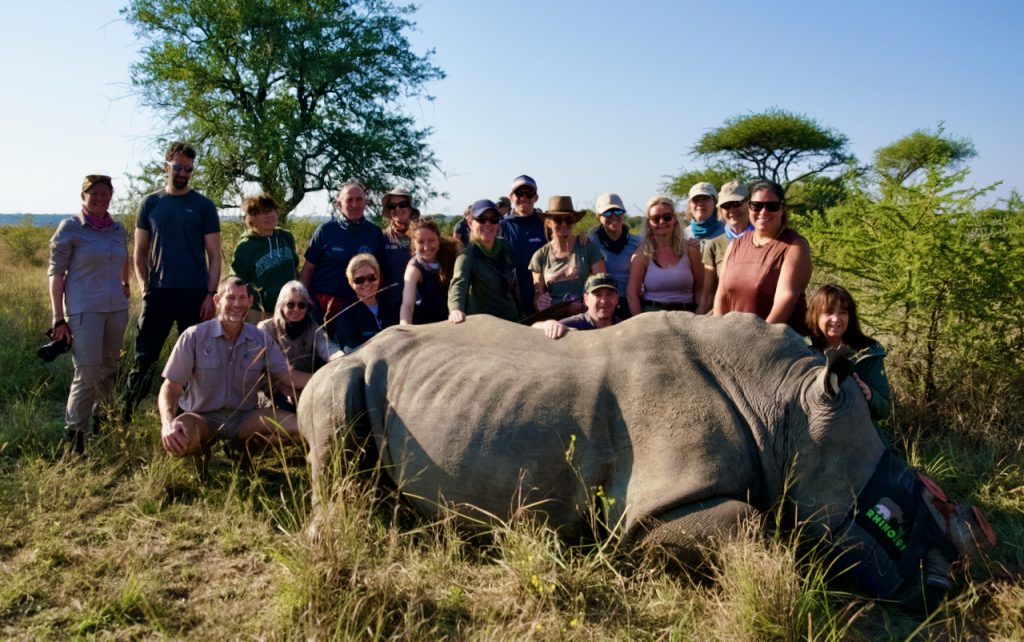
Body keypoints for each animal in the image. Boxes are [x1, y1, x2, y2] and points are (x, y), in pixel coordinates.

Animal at [294, 313, 991, 610]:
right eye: (893, 510)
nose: (945, 586)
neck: (786, 409)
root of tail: (356, 344)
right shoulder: (651, 510)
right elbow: (752, 527)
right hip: (343, 374)